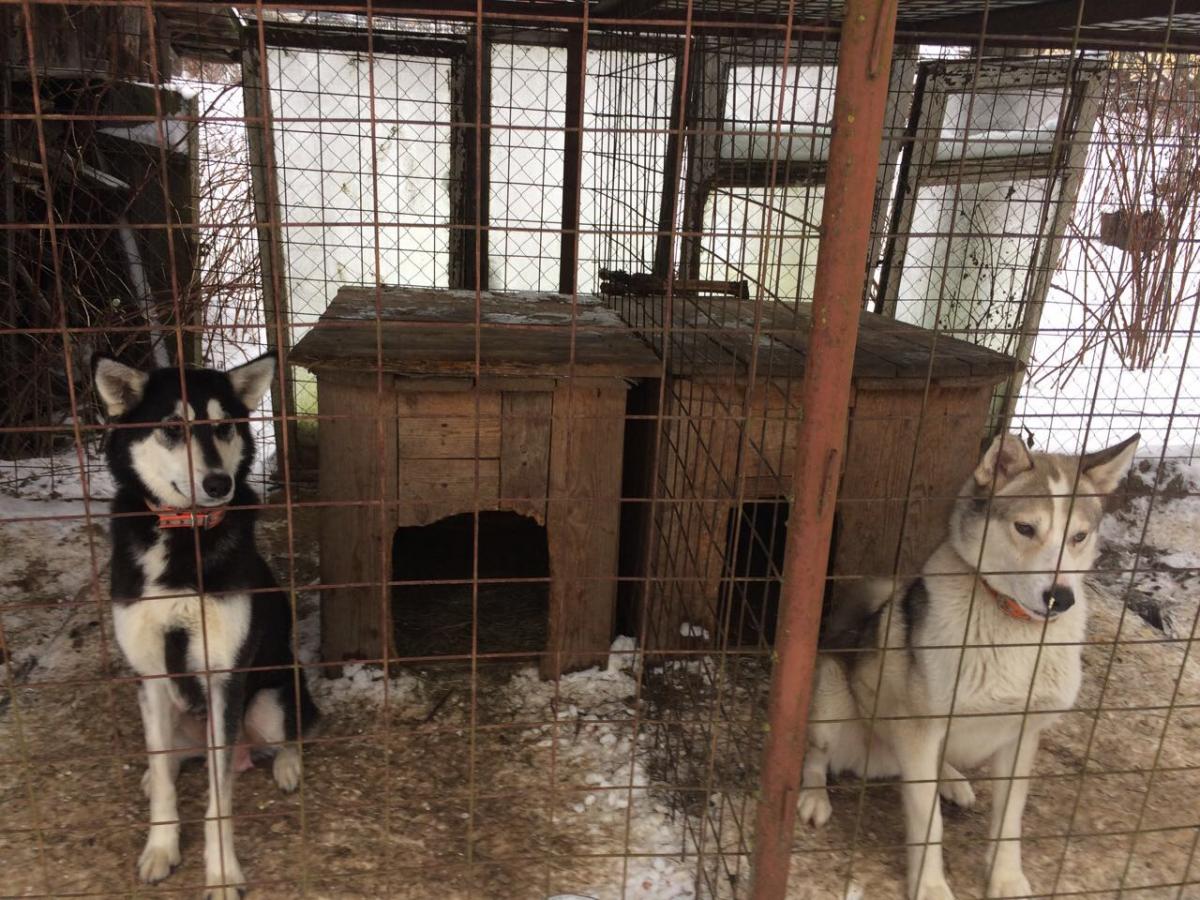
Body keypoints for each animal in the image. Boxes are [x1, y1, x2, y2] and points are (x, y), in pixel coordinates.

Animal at [94, 352, 320, 899]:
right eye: (173, 428)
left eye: (222, 425)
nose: (220, 484)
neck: (184, 540)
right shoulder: (152, 676)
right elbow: (163, 778)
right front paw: (160, 847)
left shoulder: (224, 679)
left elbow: (220, 799)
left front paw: (220, 874)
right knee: (169, 759)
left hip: (271, 699)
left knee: (292, 732)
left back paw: (287, 765)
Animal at [799, 431, 1139, 900]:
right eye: (1025, 528)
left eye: (1079, 536)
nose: (1061, 597)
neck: (1015, 630)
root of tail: (876, 763)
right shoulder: (920, 731)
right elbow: (929, 824)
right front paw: (931, 886)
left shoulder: (1021, 735)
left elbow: (1009, 819)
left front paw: (1007, 879)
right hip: (832, 696)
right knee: (815, 757)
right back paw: (815, 797)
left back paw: (952, 780)